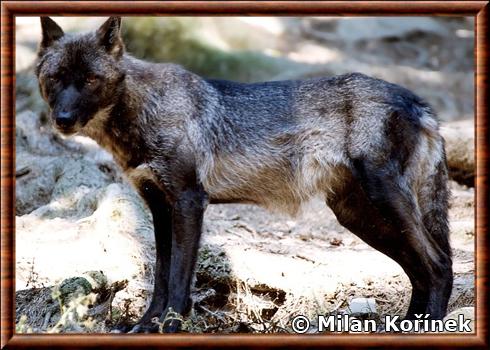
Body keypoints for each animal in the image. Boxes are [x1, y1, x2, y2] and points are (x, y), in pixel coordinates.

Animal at [36, 17, 454, 334]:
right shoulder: (159, 208)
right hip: (361, 218)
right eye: (56, 78)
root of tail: (417, 102)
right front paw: (145, 325)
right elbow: (160, 276)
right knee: (420, 269)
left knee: (438, 265)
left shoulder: (189, 202)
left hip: (384, 205)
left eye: (90, 80)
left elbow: (178, 280)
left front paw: (170, 326)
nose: (63, 120)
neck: (144, 111)